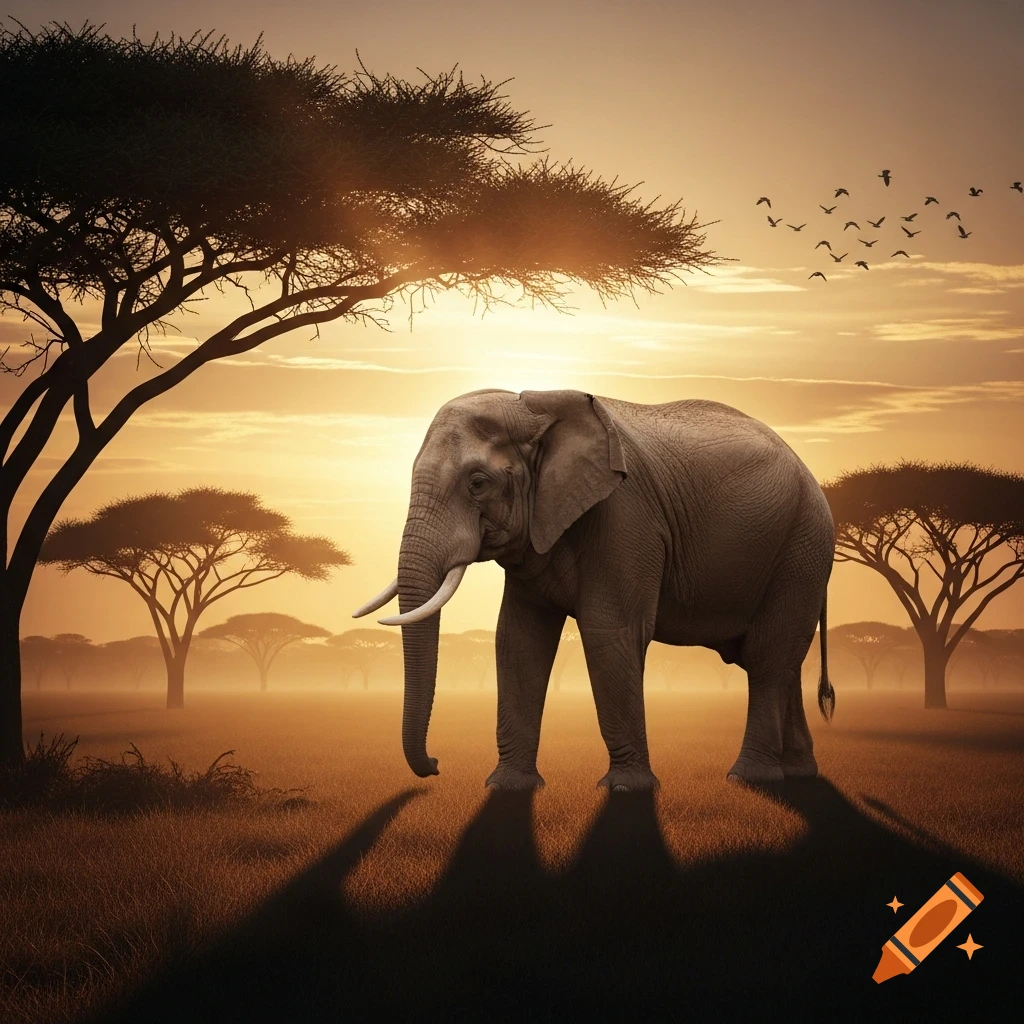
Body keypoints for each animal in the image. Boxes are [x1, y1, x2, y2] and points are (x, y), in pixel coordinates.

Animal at [353, 388, 836, 791]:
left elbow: (609, 633)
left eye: (477, 483)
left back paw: (749, 779)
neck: (535, 407)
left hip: (802, 547)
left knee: (768, 656)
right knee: (781, 659)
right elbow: (518, 640)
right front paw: (507, 788)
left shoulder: (626, 515)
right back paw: (797, 773)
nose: (436, 765)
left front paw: (626, 790)